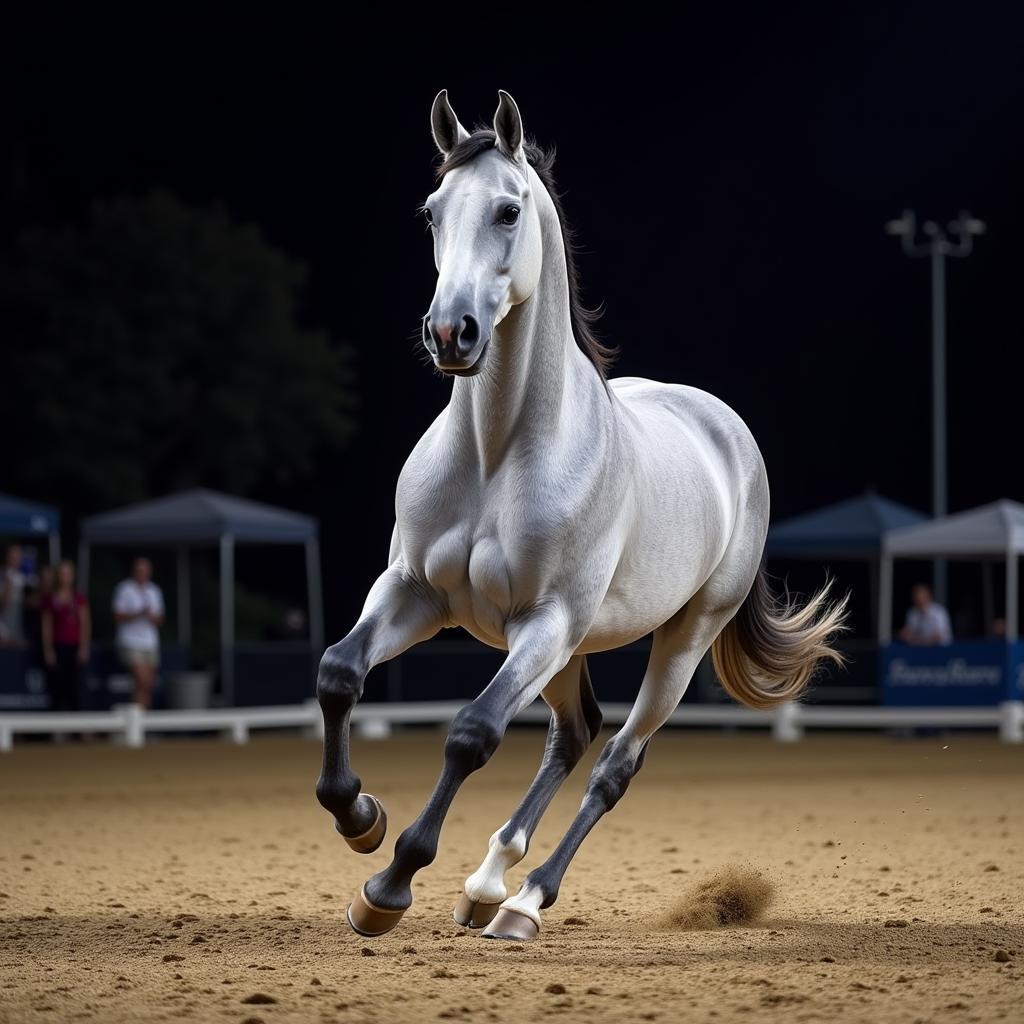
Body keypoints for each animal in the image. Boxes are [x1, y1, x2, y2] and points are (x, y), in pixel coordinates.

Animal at [313, 90, 847, 942]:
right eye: (432, 212)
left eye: (507, 210)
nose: (449, 333)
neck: (496, 457)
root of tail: (725, 429)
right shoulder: (414, 593)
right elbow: (338, 673)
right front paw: (360, 817)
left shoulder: (547, 622)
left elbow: (472, 733)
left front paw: (388, 885)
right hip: (563, 651)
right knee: (577, 732)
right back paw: (486, 886)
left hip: (676, 639)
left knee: (614, 761)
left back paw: (524, 902)